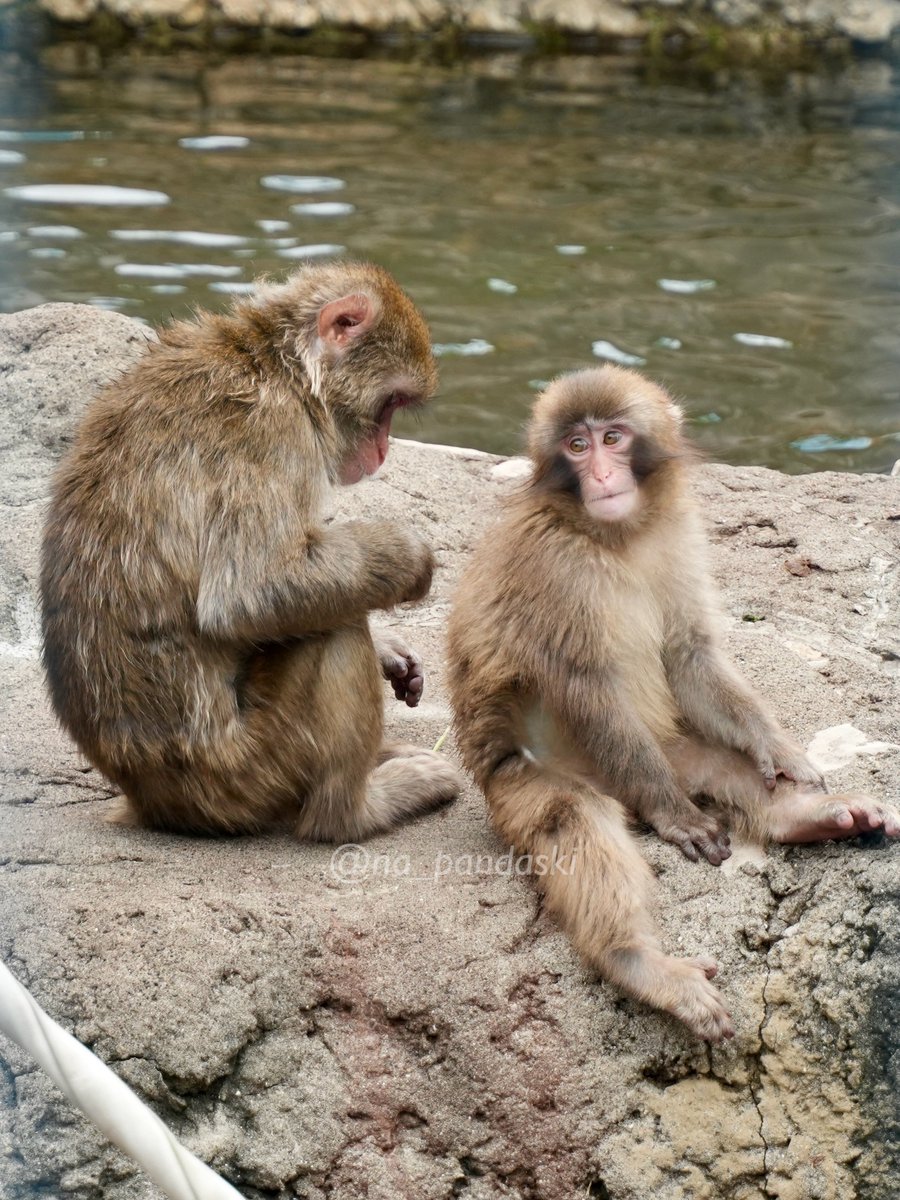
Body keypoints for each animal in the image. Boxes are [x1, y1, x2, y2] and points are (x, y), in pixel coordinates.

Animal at [40, 262, 461, 839]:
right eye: (392, 403)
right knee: (333, 629)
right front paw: (408, 556)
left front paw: (390, 648)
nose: (381, 452)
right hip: (256, 764)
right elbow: (248, 595)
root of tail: (154, 801)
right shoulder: (274, 432)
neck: (281, 366)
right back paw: (356, 810)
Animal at [447, 365, 899, 1041]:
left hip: (662, 747)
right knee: (575, 817)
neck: (613, 536)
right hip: (535, 778)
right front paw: (678, 817)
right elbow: (585, 688)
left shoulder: (678, 532)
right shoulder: (554, 567)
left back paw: (809, 817)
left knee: (712, 762)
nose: (601, 475)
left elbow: (690, 654)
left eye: (612, 437)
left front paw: (781, 750)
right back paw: (638, 960)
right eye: (576, 447)